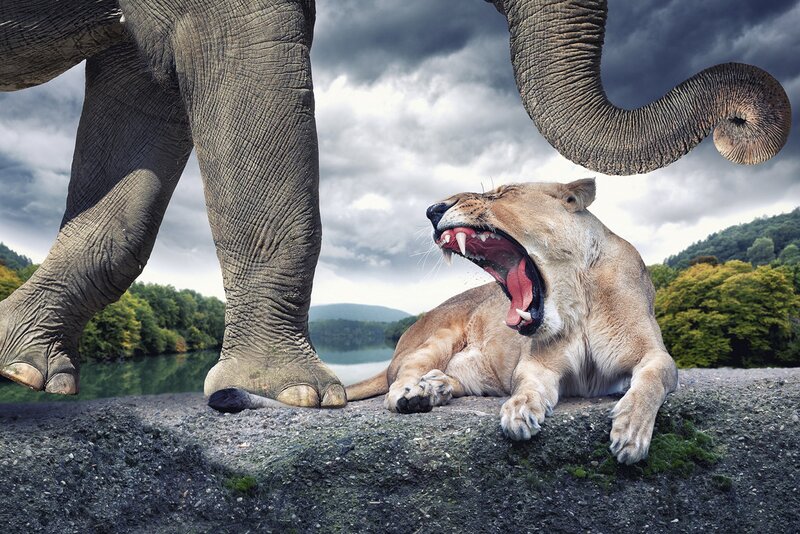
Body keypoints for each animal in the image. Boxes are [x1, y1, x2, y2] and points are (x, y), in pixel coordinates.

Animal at [346, 178, 678, 464]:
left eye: (502, 193)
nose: (432, 210)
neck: (578, 302)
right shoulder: (537, 363)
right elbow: (528, 384)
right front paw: (520, 409)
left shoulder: (653, 353)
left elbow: (654, 379)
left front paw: (631, 430)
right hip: (438, 337)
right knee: (400, 380)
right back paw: (416, 393)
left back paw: (437, 386)